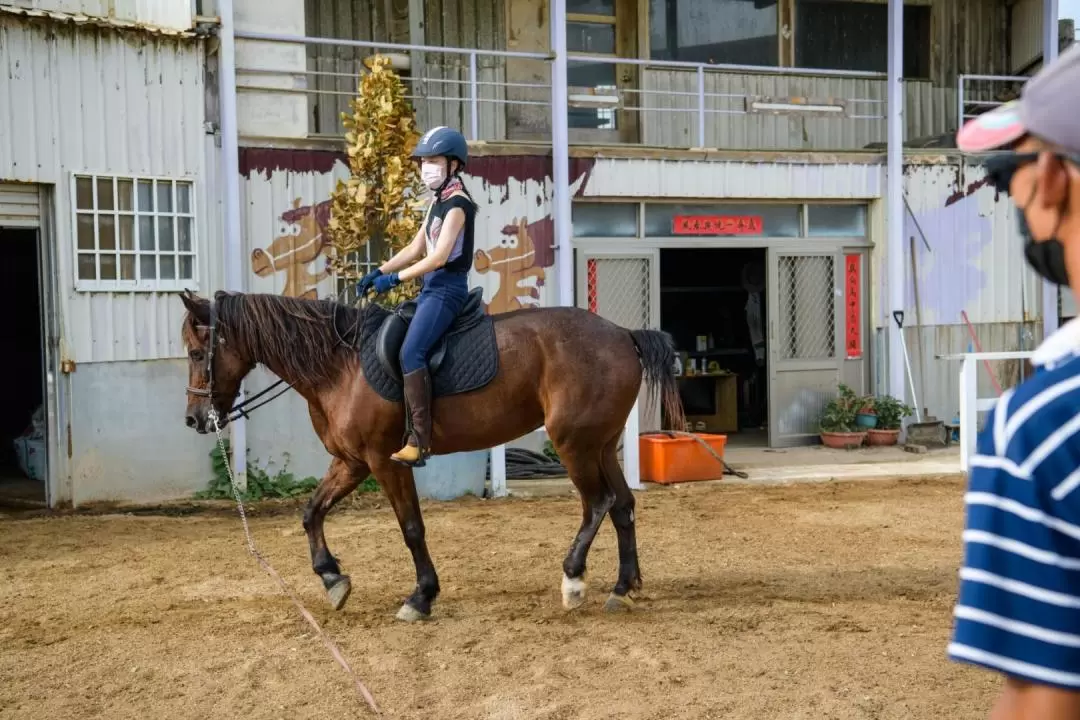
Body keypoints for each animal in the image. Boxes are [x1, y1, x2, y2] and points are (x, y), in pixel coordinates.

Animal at [177, 289, 682, 621]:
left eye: (198, 352)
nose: (195, 419)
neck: (340, 367)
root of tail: (622, 334)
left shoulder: (384, 461)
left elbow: (412, 529)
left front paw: (420, 597)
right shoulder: (352, 463)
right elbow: (311, 512)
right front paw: (332, 579)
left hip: (574, 444)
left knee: (597, 503)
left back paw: (574, 581)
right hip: (601, 444)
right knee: (623, 506)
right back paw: (623, 587)